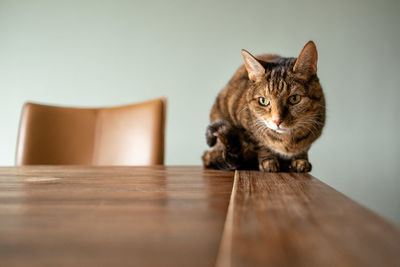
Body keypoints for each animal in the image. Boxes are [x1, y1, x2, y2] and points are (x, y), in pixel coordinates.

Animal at [202, 40, 326, 173]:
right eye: (263, 100)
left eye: (294, 98)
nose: (277, 121)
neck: (286, 141)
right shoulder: (245, 126)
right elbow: (260, 143)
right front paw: (268, 161)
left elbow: (304, 147)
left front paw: (301, 160)